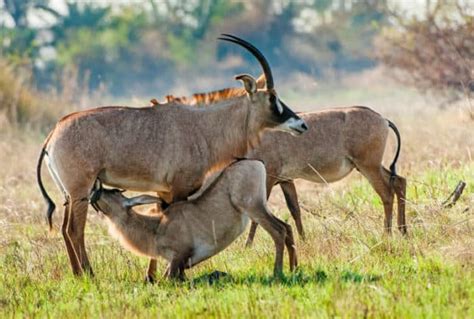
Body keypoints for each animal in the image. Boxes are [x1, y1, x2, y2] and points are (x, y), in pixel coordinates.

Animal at [89, 161, 296, 282]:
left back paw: (278, 273)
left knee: (279, 230)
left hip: (253, 206)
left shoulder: (181, 254)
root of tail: (258, 163)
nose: (93, 187)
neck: (155, 230)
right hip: (260, 206)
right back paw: (294, 267)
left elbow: (170, 279)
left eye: (114, 191)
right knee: (287, 226)